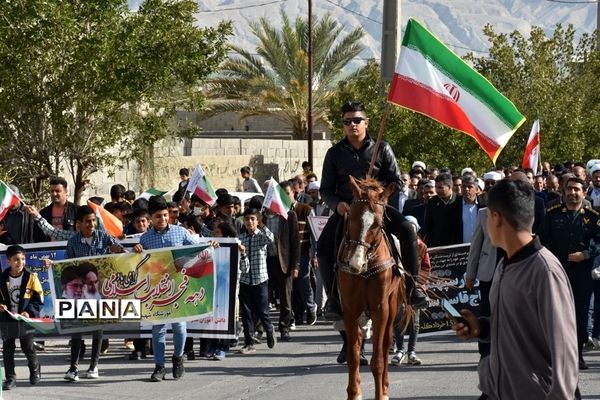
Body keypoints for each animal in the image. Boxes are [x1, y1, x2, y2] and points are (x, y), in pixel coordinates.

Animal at [336, 177, 410, 400]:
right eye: (351, 218)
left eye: (376, 224)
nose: (355, 263)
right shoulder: (350, 310)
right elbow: (353, 355)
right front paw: (354, 393)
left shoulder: (380, 309)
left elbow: (377, 358)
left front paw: (380, 393)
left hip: (391, 307)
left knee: (385, 347)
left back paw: (384, 387)